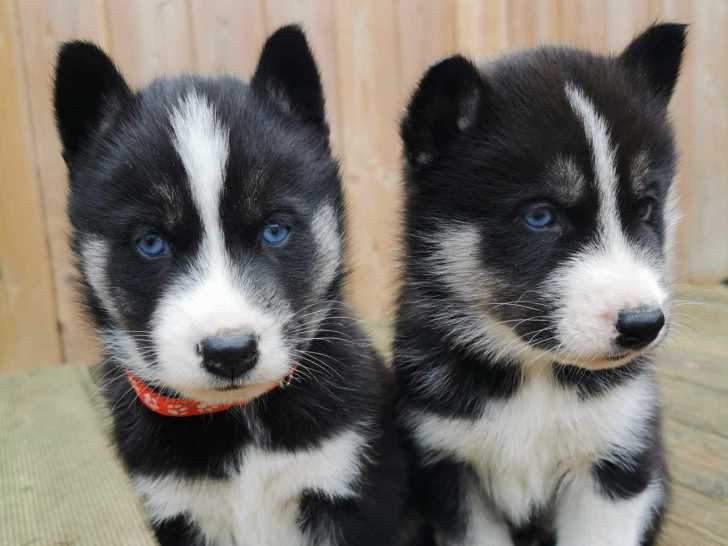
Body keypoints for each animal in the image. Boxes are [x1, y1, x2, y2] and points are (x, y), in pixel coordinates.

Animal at [55, 25, 405, 546]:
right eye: (151, 242)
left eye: (275, 230)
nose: (230, 352)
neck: (240, 424)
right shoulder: (178, 510)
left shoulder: (347, 485)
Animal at [395, 23, 686, 546]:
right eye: (540, 217)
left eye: (646, 207)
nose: (644, 325)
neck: (535, 374)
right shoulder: (451, 473)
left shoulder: (616, 464)